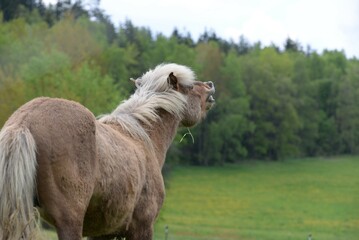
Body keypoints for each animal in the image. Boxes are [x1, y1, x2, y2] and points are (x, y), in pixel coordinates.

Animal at [0, 62, 217, 239]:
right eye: (190, 87)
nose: (210, 86)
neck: (143, 137)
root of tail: (23, 122)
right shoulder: (143, 227)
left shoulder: (102, 233)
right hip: (69, 222)